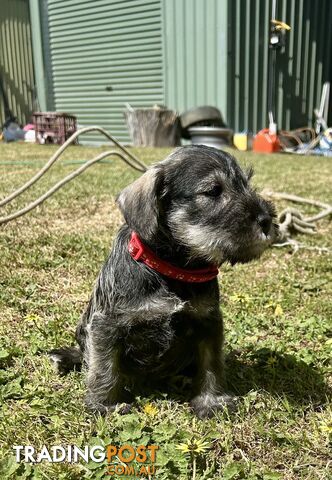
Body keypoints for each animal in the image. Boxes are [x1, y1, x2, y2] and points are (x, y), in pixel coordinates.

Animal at [50, 144, 278, 418]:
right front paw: (104, 405)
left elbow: (211, 364)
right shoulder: (107, 325)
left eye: (247, 184)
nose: (267, 220)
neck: (173, 269)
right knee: (86, 356)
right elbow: (103, 368)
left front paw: (211, 401)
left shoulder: (209, 322)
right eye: (213, 190)